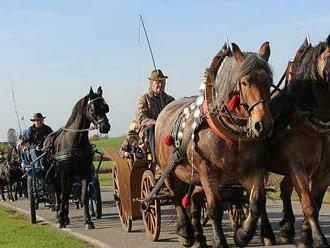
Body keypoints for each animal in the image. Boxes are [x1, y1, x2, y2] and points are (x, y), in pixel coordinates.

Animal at [43, 86, 111, 229]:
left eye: (106, 107)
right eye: (93, 108)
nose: (105, 127)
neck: (75, 141)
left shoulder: (85, 172)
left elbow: (84, 196)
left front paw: (88, 221)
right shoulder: (64, 173)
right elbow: (62, 196)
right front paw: (61, 220)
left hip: (71, 176)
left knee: (67, 192)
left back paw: (66, 216)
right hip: (54, 175)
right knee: (58, 193)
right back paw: (59, 216)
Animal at [156, 41, 274, 247]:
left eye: (268, 80)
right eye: (244, 82)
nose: (263, 124)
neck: (231, 137)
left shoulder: (252, 170)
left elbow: (257, 203)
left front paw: (242, 234)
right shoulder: (207, 172)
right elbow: (215, 209)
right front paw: (220, 241)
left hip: (194, 177)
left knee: (194, 201)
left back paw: (198, 236)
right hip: (169, 171)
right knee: (177, 198)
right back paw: (186, 232)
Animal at [260, 35, 330, 248]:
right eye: (329, 58)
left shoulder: (324, 171)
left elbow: (315, 204)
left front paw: (306, 237)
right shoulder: (297, 167)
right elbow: (308, 203)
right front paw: (319, 239)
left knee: (283, 190)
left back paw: (287, 228)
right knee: (260, 198)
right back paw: (268, 234)